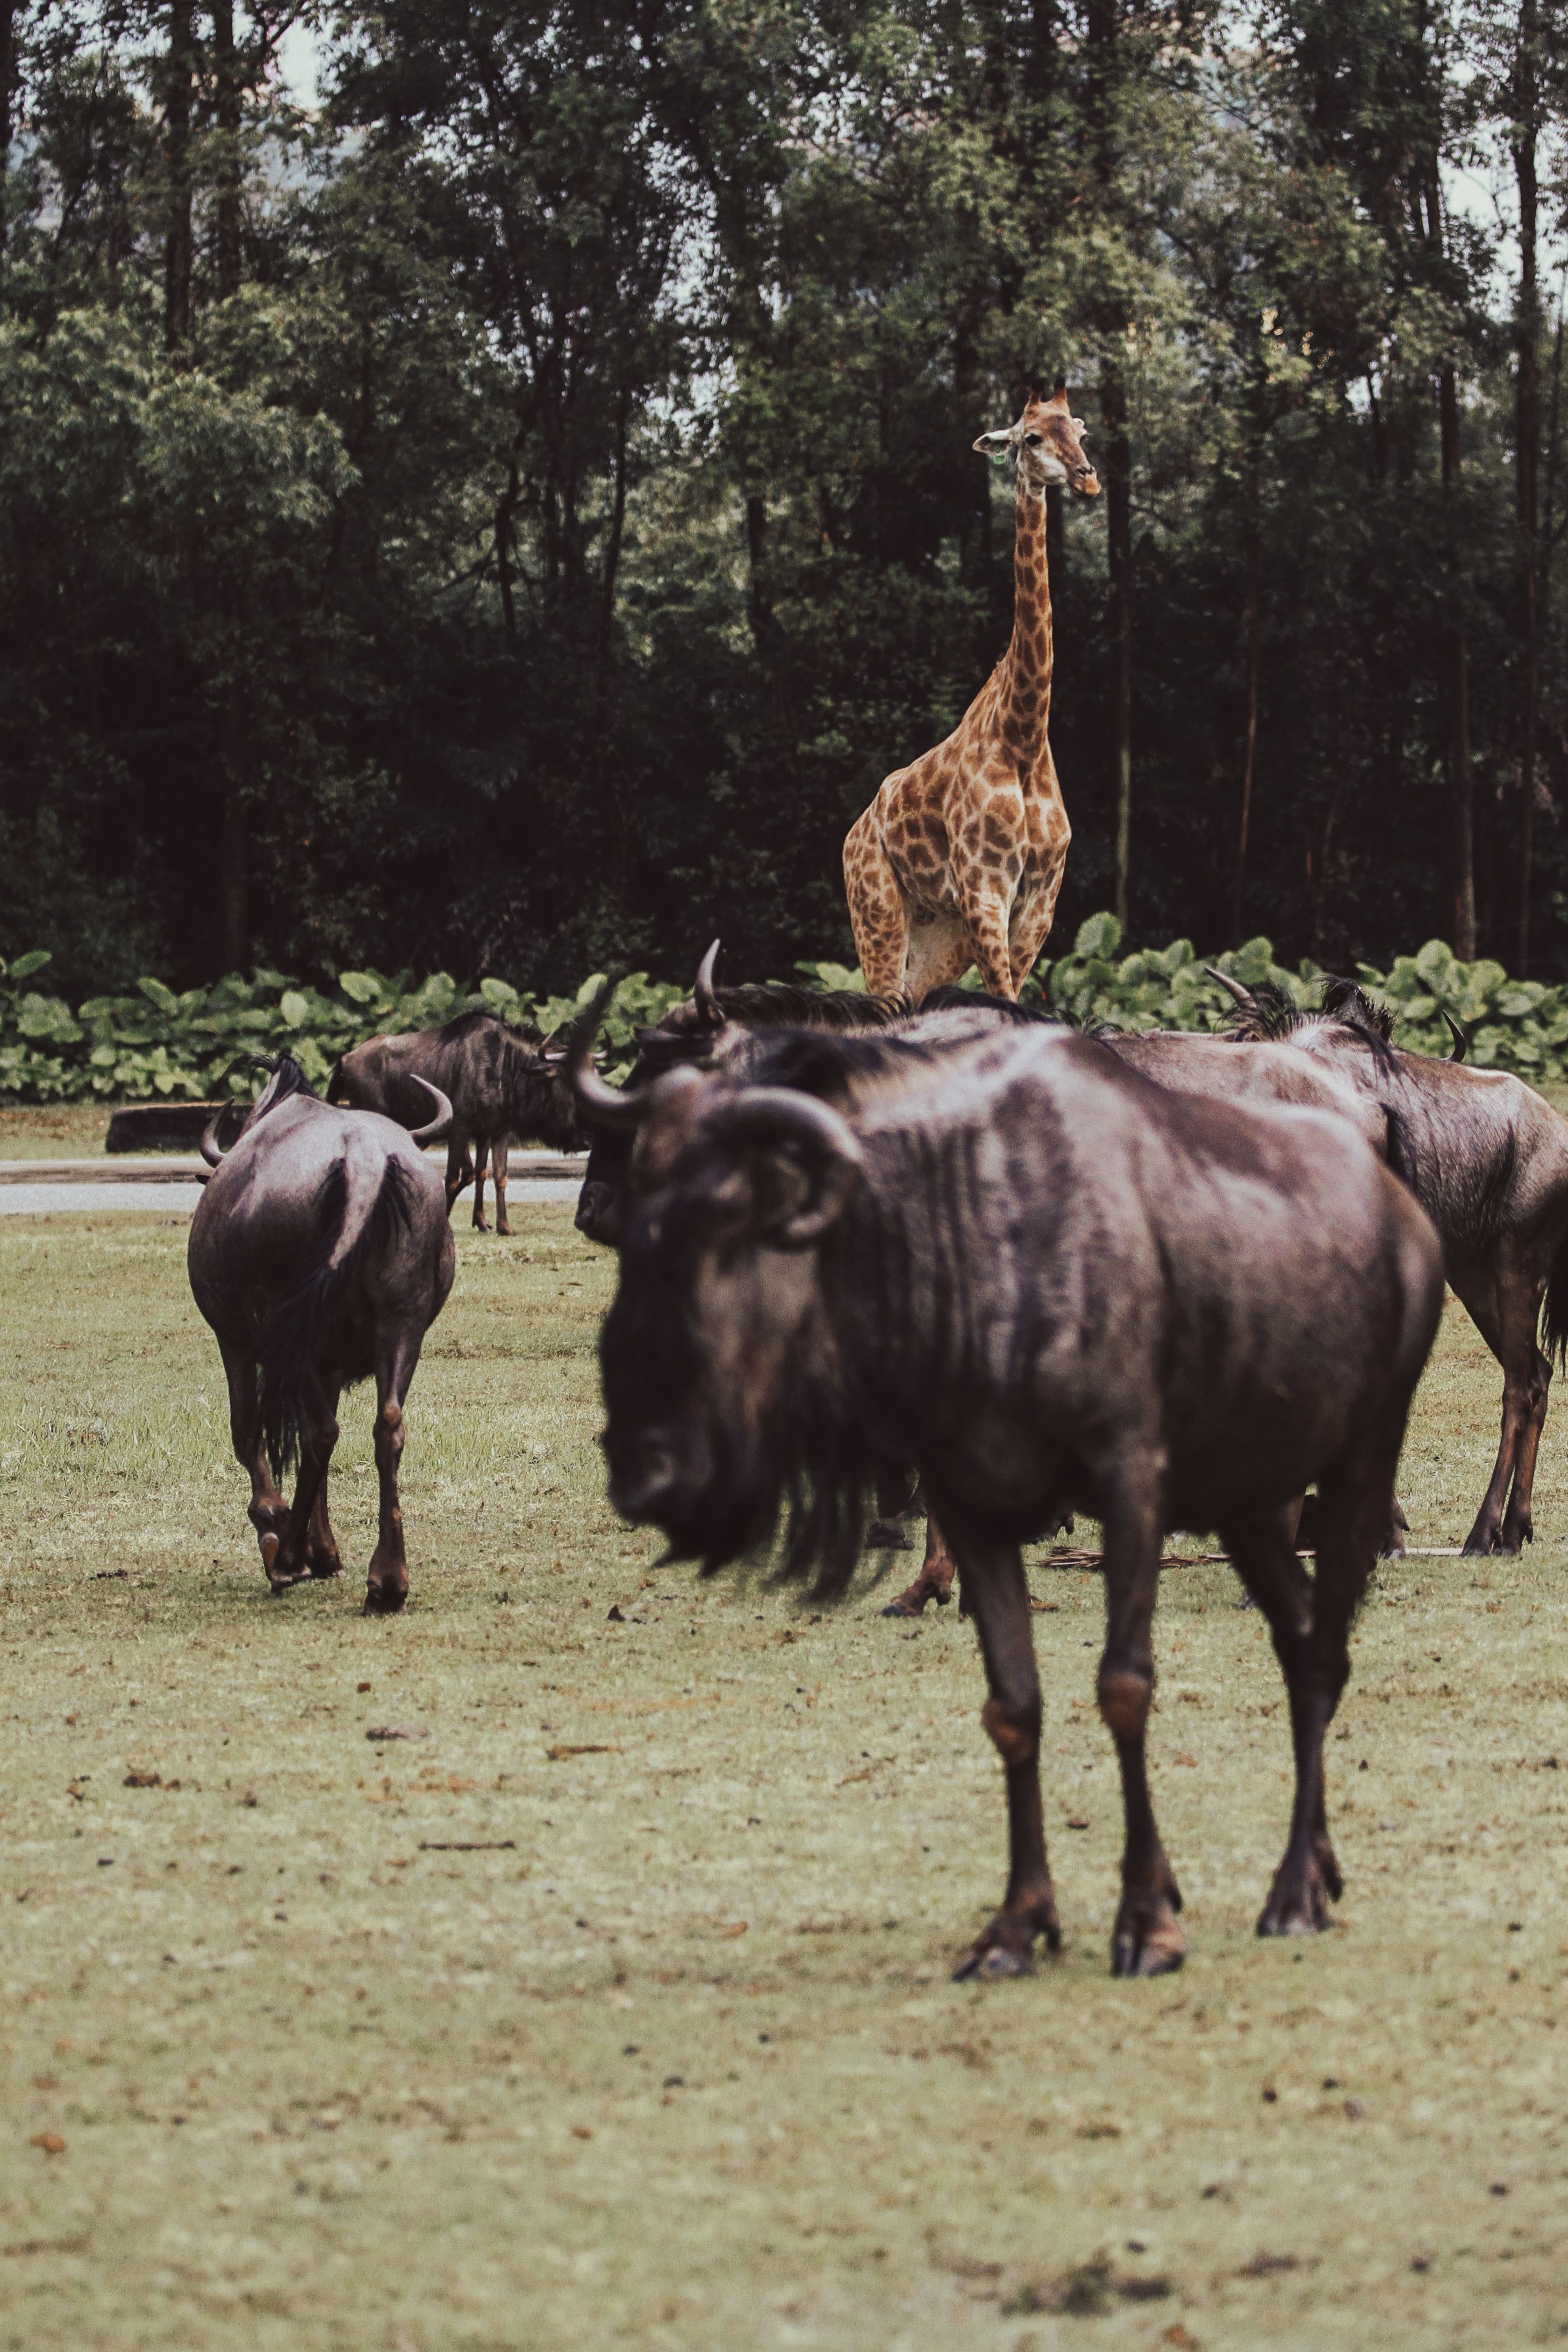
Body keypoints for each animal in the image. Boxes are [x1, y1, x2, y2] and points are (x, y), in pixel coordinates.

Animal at [843, 388, 1099, 1001]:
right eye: (1032, 438)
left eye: (1081, 430)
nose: (1088, 479)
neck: (1023, 735)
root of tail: (853, 834)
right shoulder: (986, 889)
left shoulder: (1039, 902)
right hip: (877, 910)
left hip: (940, 934)